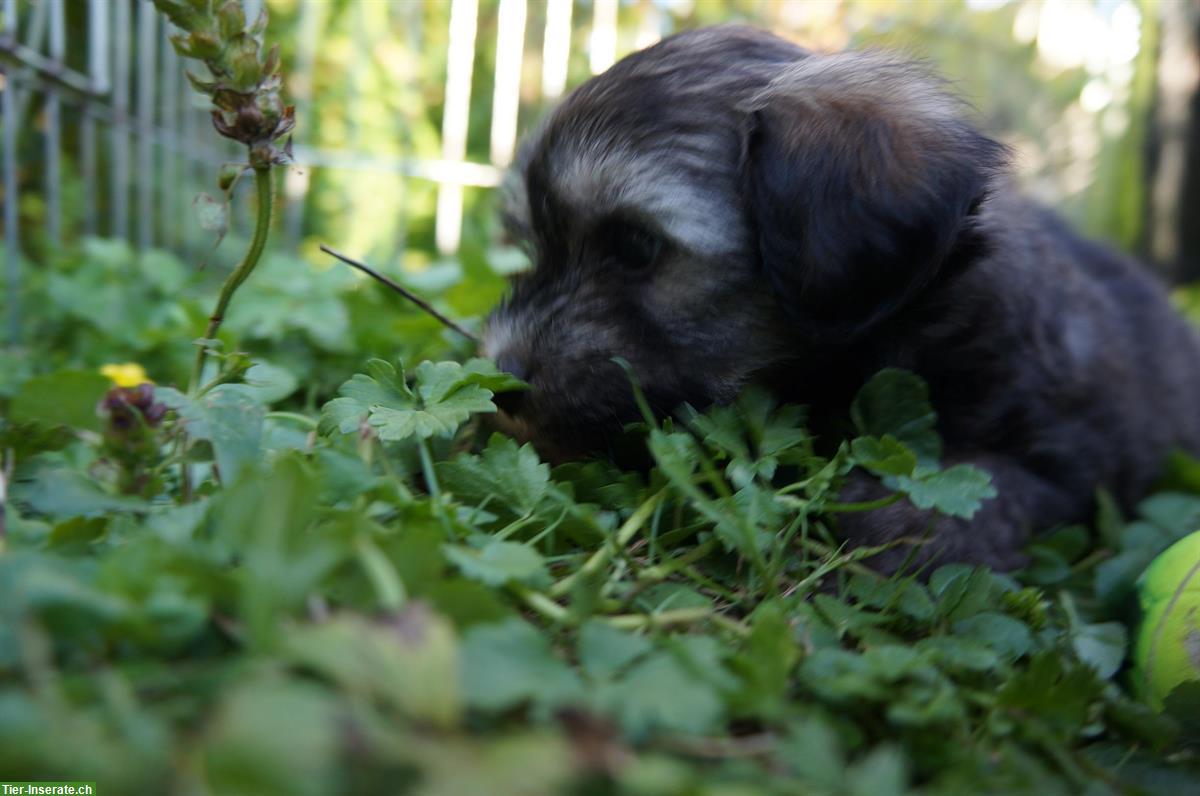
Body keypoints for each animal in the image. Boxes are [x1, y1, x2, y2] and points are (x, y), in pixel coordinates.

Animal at [482, 24, 1200, 573]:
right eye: (530, 243)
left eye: (635, 245)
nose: (501, 381)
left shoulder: (1070, 460)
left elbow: (984, 493)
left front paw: (891, 520)